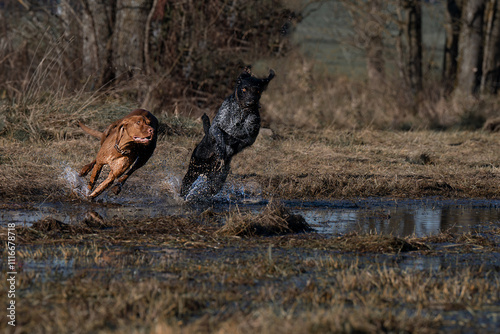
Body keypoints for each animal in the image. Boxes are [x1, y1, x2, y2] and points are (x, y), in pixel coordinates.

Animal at [181, 66, 276, 200]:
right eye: (244, 89)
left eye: (257, 91)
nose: (250, 103)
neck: (241, 114)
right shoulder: (216, 126)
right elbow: (220, 135)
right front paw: (221, 149)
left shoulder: (251, 136)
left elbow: (241, 138)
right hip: (193, 171)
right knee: (185, 185)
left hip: (216, 180)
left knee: (210, 188)